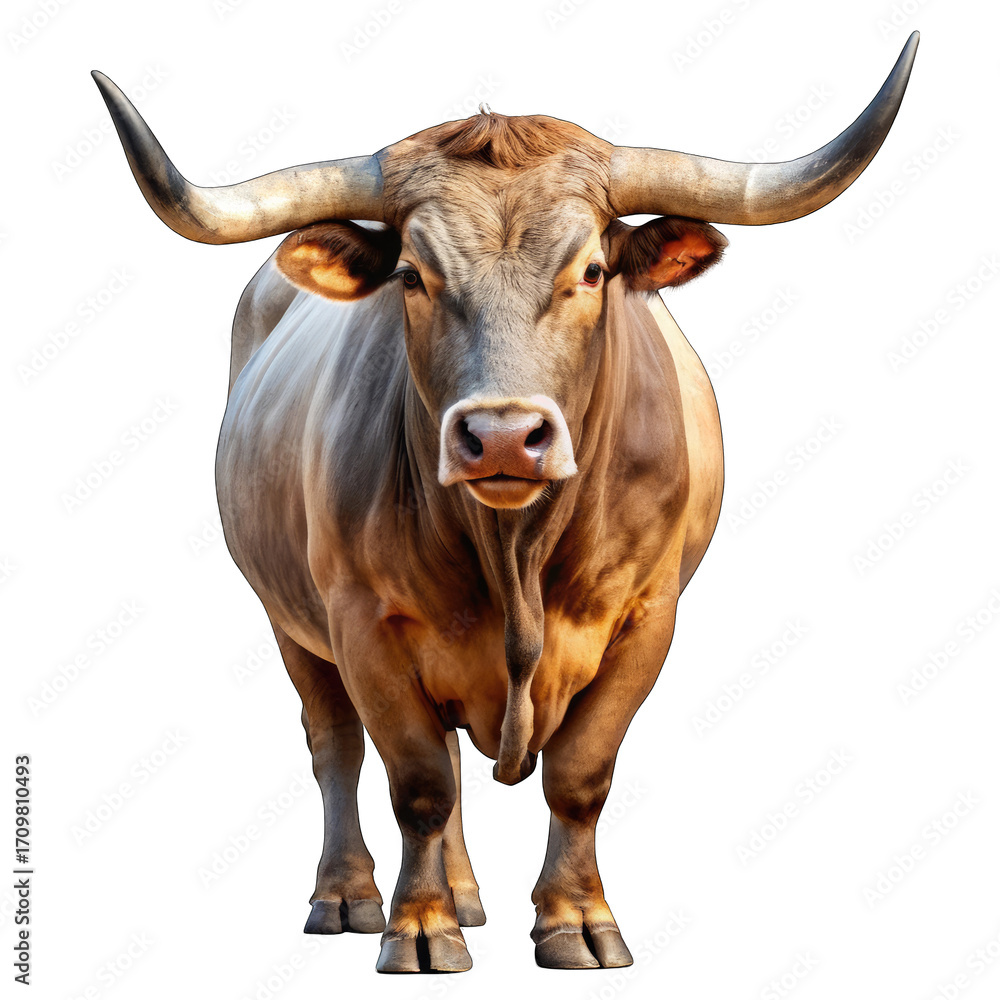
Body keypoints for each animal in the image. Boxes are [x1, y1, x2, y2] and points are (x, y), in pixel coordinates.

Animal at [94, 32, 917, 974]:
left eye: (591, 270)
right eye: (411, 275)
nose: (500, 436)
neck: (516, 554)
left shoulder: (648, 616)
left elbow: (579, 776)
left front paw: (576, 920)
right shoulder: (360, 621)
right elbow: (414, 779)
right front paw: (418, 928)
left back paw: (463, 892)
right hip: (287, 618)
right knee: (337, 745)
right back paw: (350, 894)